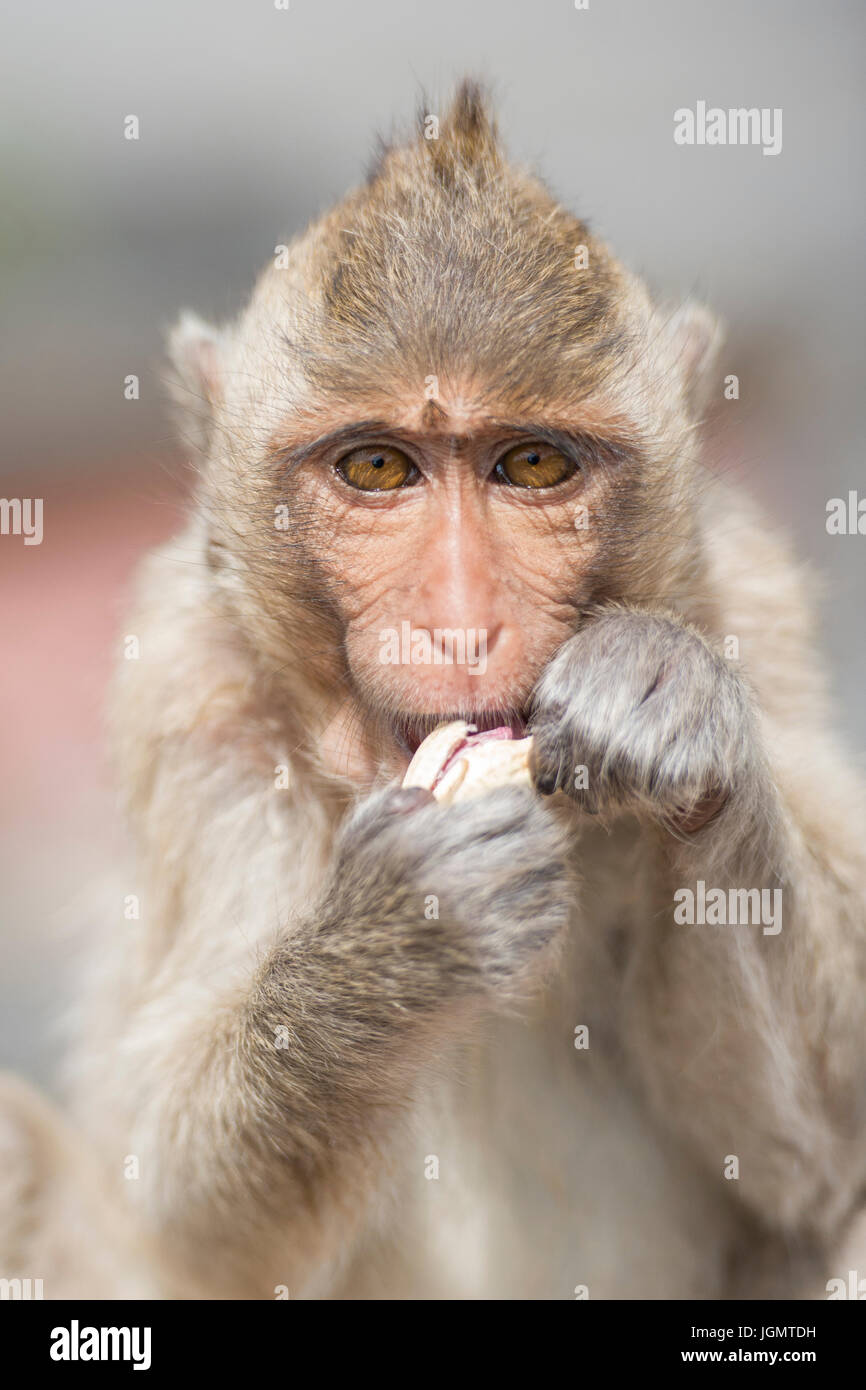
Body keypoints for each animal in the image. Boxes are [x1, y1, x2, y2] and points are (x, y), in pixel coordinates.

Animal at [2, 80, 865, 1301]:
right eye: (377, 467)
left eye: (533, 465)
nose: (458, 618)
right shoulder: (185, 681)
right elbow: (187, 1221)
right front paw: (401, 933)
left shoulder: (748, 599)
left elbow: (817, 1157)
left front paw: (672, 706)